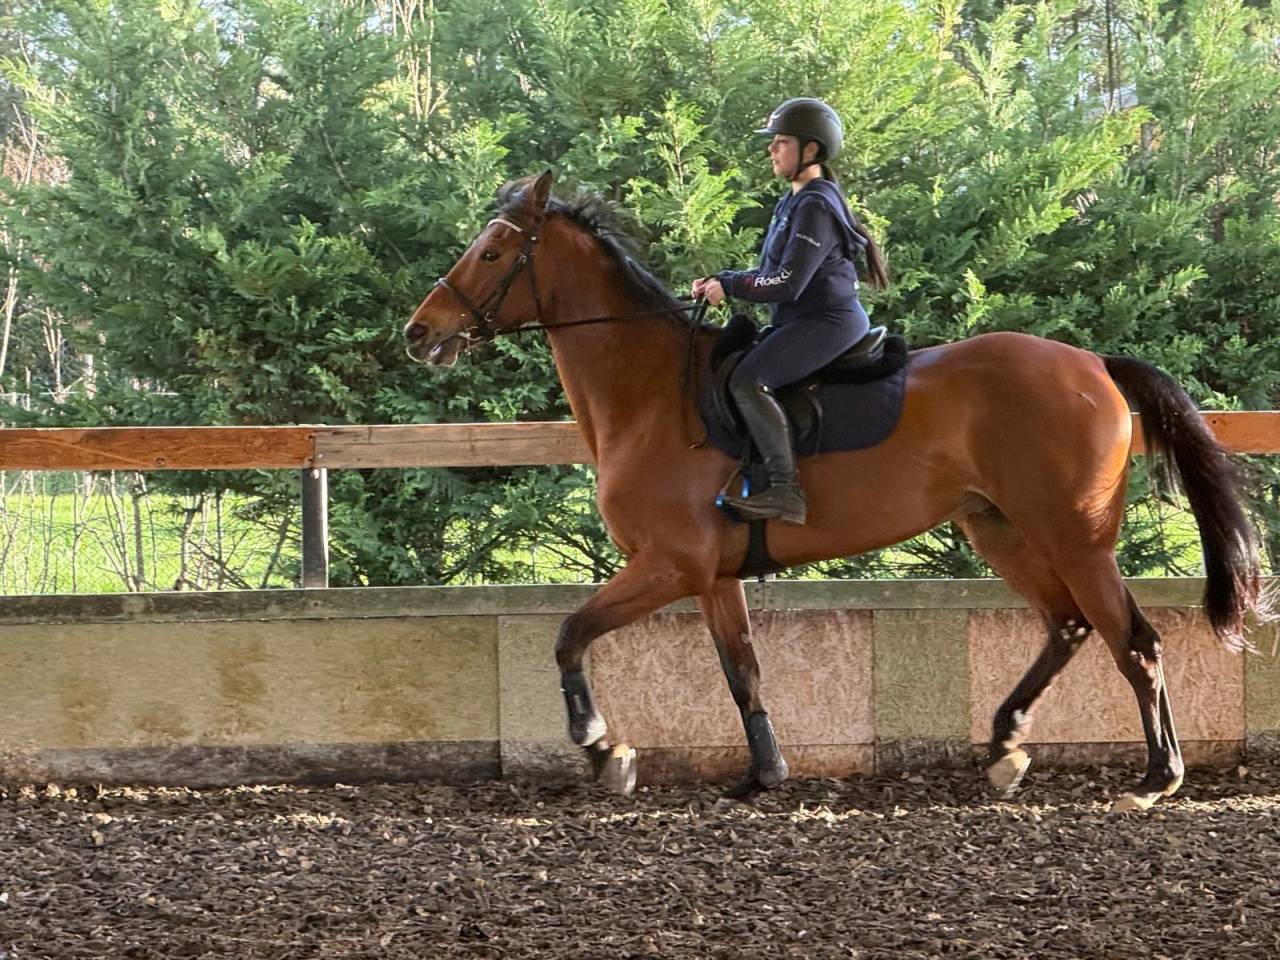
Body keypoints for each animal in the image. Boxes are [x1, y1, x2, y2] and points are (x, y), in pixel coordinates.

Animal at [404, 170, 1269, 811]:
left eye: (492, 252)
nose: (418, 333)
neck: (651, 396)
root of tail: (1091, 363)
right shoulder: (712, 578)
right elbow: (742, 671)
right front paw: (764, 774)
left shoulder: (668, 566)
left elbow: (570, 633)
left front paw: (603, 749)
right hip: (1000, 528)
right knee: (1068, 627)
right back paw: (1005, 747)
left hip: (1072, 534)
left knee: (1134, 640)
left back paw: (1156, 777)